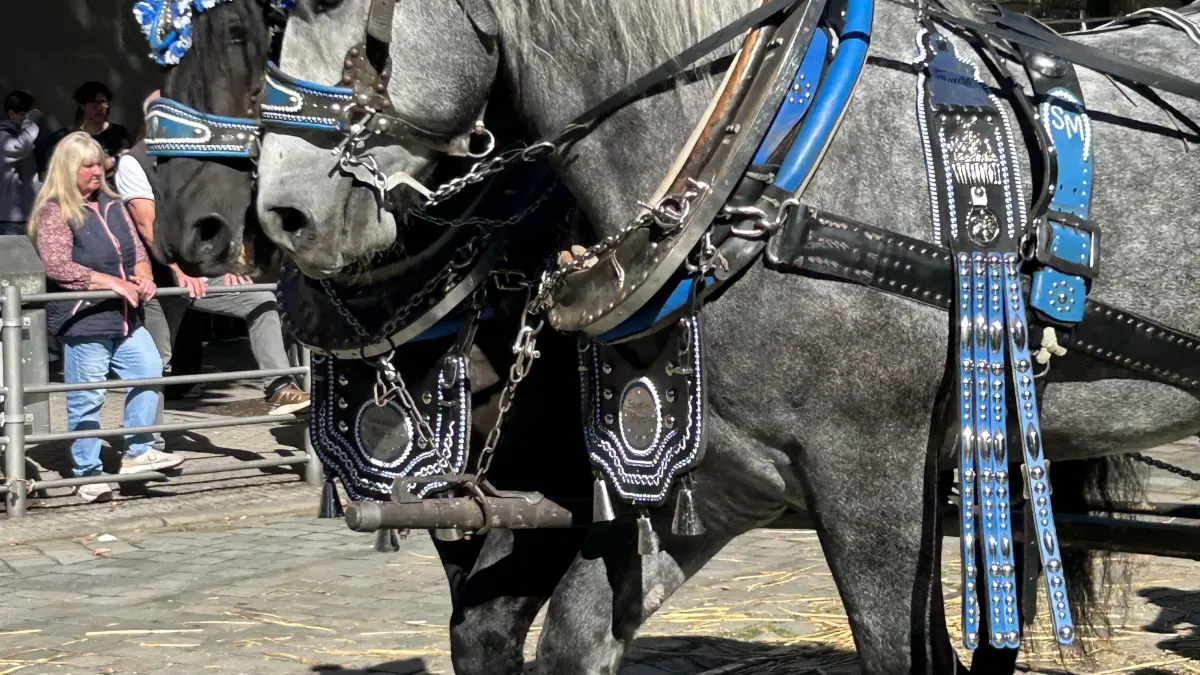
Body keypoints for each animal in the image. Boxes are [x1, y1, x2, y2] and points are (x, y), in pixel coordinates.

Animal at [253, 0, 1200, 672]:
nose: (283, 215)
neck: (762, 157)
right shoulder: (714, 474)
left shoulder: (872, 475)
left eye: (353, 22)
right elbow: (571, 634)